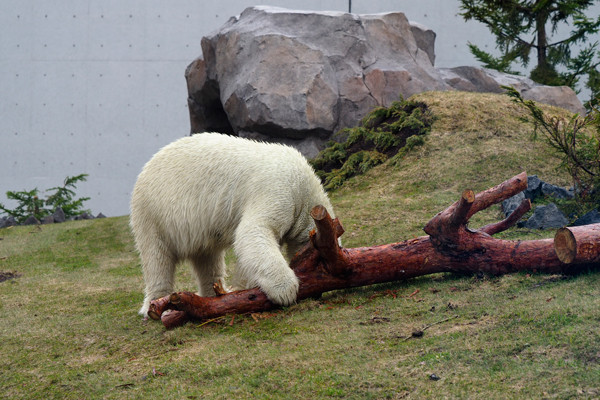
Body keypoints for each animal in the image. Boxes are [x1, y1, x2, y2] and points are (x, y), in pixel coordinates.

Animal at [131, 134, 336, 316]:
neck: (304, 190)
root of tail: (146, 168)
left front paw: (250, 286)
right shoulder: (278, 190)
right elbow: (254, 230)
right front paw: (285, 291)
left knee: (207, 258)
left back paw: (213, 295)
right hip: (154, 213)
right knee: (157, 259)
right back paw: (157, 306)